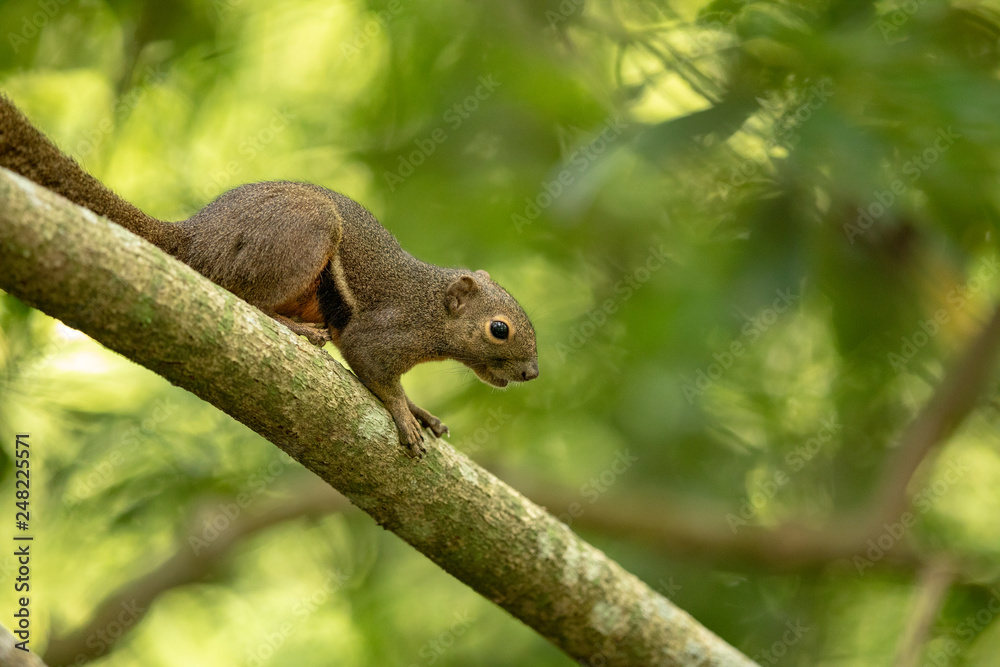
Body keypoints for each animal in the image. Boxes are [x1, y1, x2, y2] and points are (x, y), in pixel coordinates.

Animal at [0, 94, 538, 457]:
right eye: (499, 329)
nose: (531, 373)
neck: (431, 306)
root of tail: (196, 239)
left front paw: (423, 414)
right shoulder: (387, 330)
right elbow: (374, 369)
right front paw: (406, 416)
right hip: (303, 235)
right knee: (245, 299)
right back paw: (296, 328)